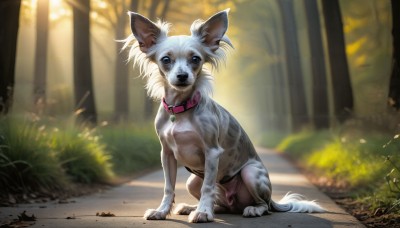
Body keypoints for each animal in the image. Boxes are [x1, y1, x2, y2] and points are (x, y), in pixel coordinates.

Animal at [122, 8, 324, 223]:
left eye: (196, 59)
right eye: (166, 60)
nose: (182, 76)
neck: (181, 109)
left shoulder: (211, 152)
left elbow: (208, 187)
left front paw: (202, 213)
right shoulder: (167, 155)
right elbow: (169, 187)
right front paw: (162, 211)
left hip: (251, 173)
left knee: (263, 205)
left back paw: (250, 209)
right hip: (193, 181)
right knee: (220, 204)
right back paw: (191, 207)